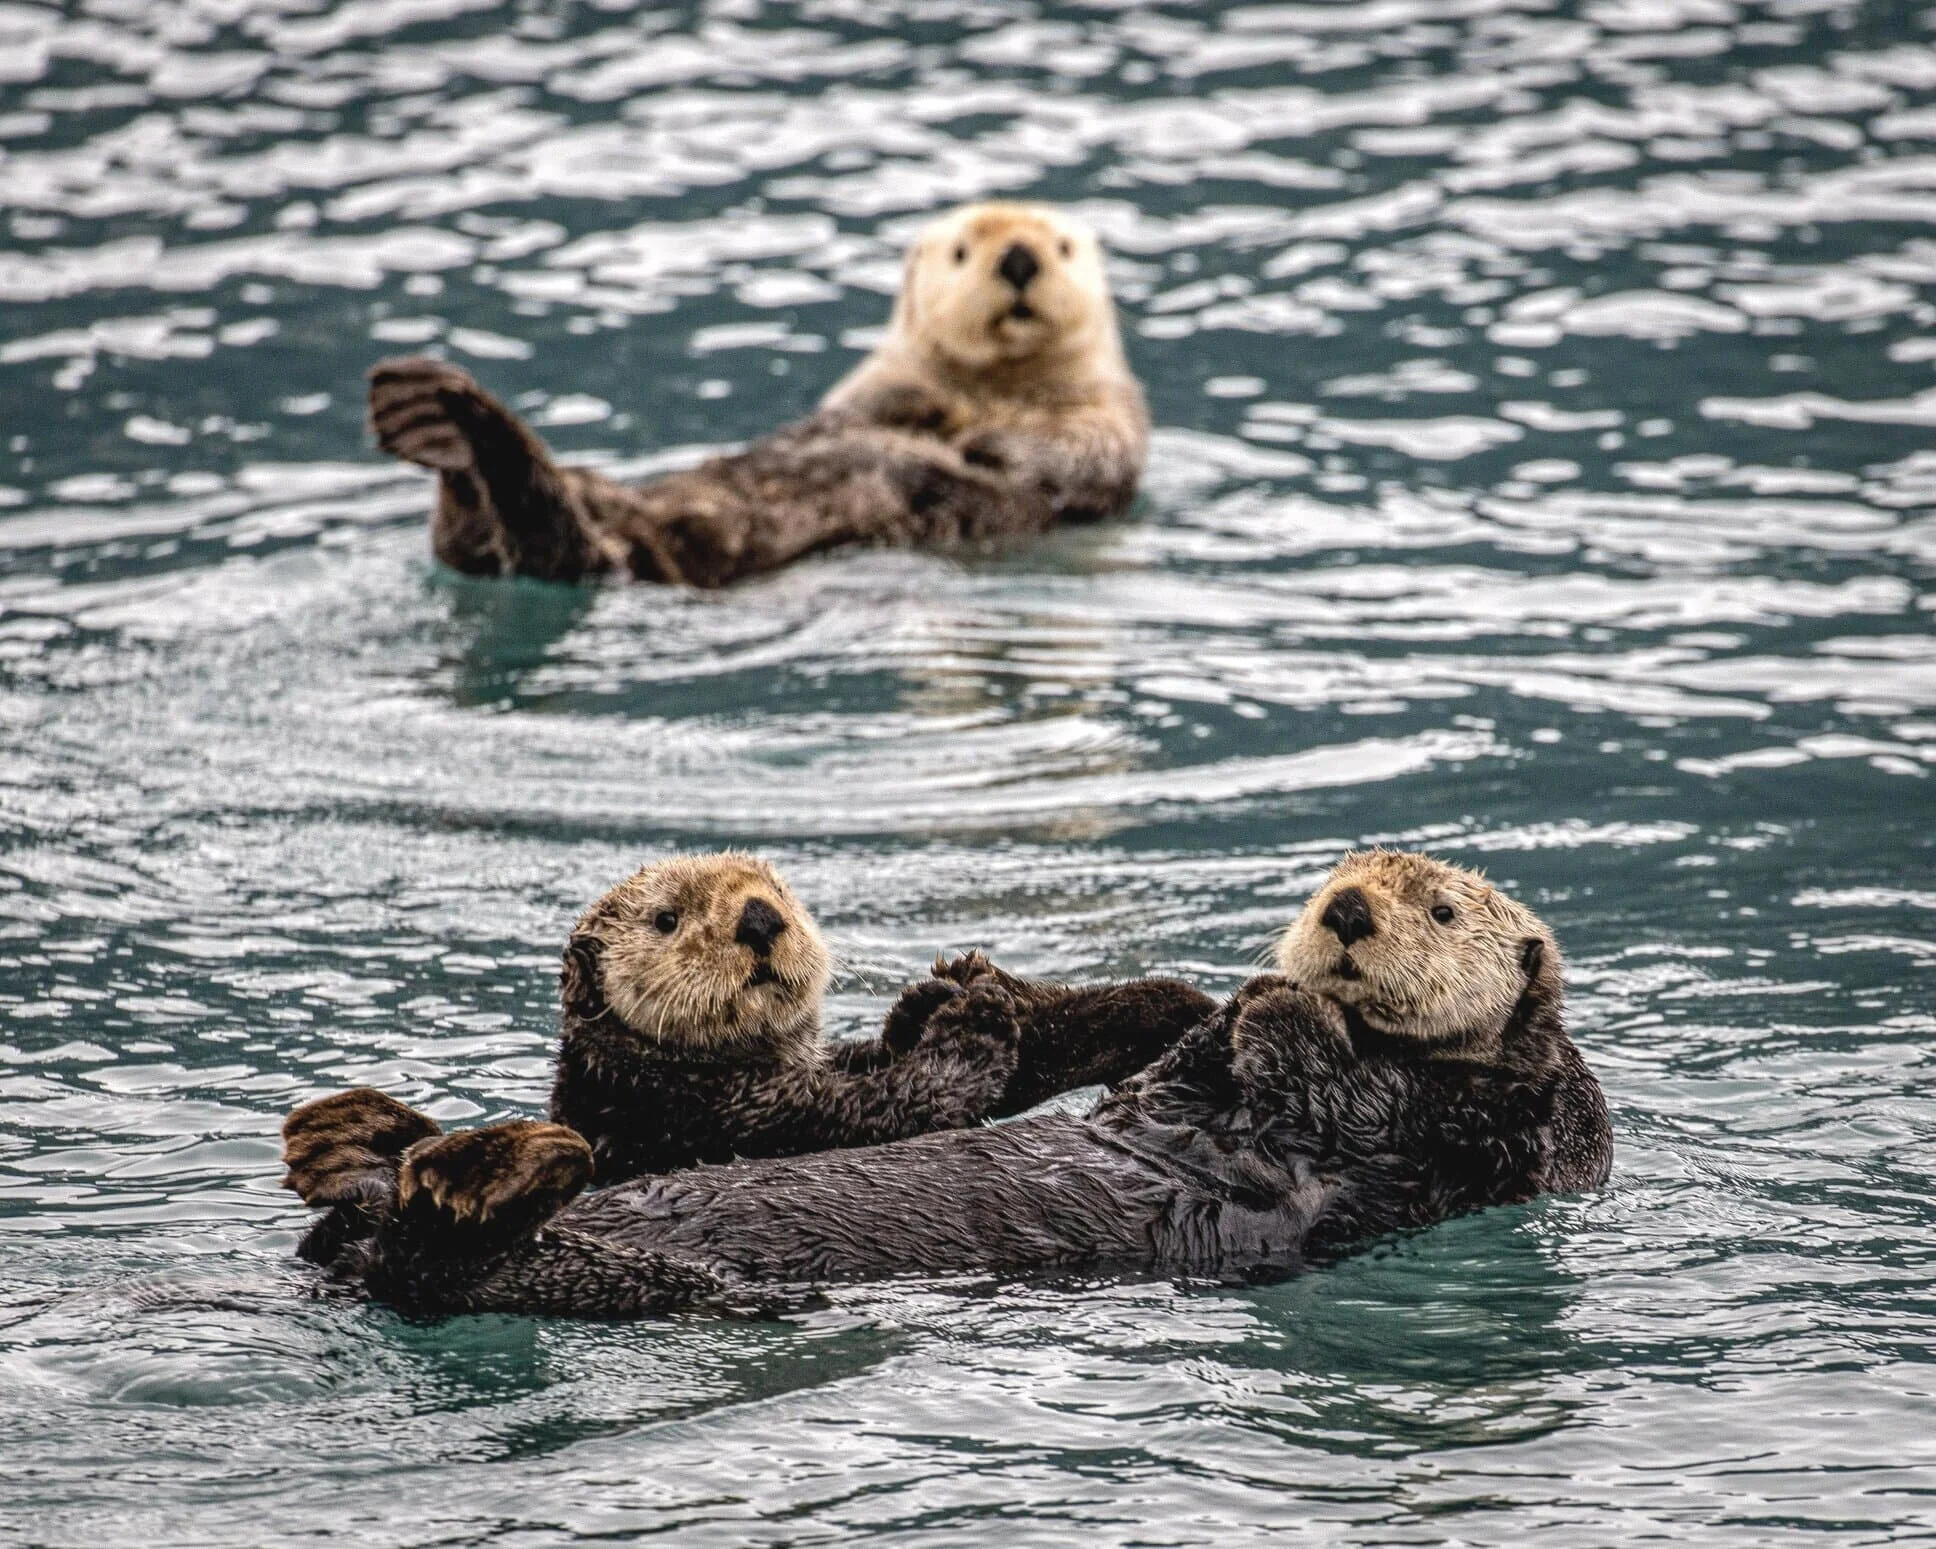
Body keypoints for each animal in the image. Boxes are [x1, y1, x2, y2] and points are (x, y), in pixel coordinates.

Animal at [280, 852, 1612, 1319]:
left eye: (1440, 908)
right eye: (1341, 878)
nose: (1340, 913)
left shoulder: (1462, 1136)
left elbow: (1352, 1106)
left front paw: (1287, 1008)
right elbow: (1181, 1058)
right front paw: (1226, 995)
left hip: (653, 1286)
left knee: (456, 1257)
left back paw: (469, 1164)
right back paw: (379, 1143)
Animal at [368, 202, 1148, 586]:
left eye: (1062, 248)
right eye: (962, 253)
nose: (1018, 258)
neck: (993, 386)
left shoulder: (1111, 415)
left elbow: (1084, 455)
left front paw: (986, 445)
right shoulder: (872, 383)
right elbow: (857, 412)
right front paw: (928, 420)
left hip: (681, 550)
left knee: (564, 550)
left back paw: (449, 425)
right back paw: (434, 422)